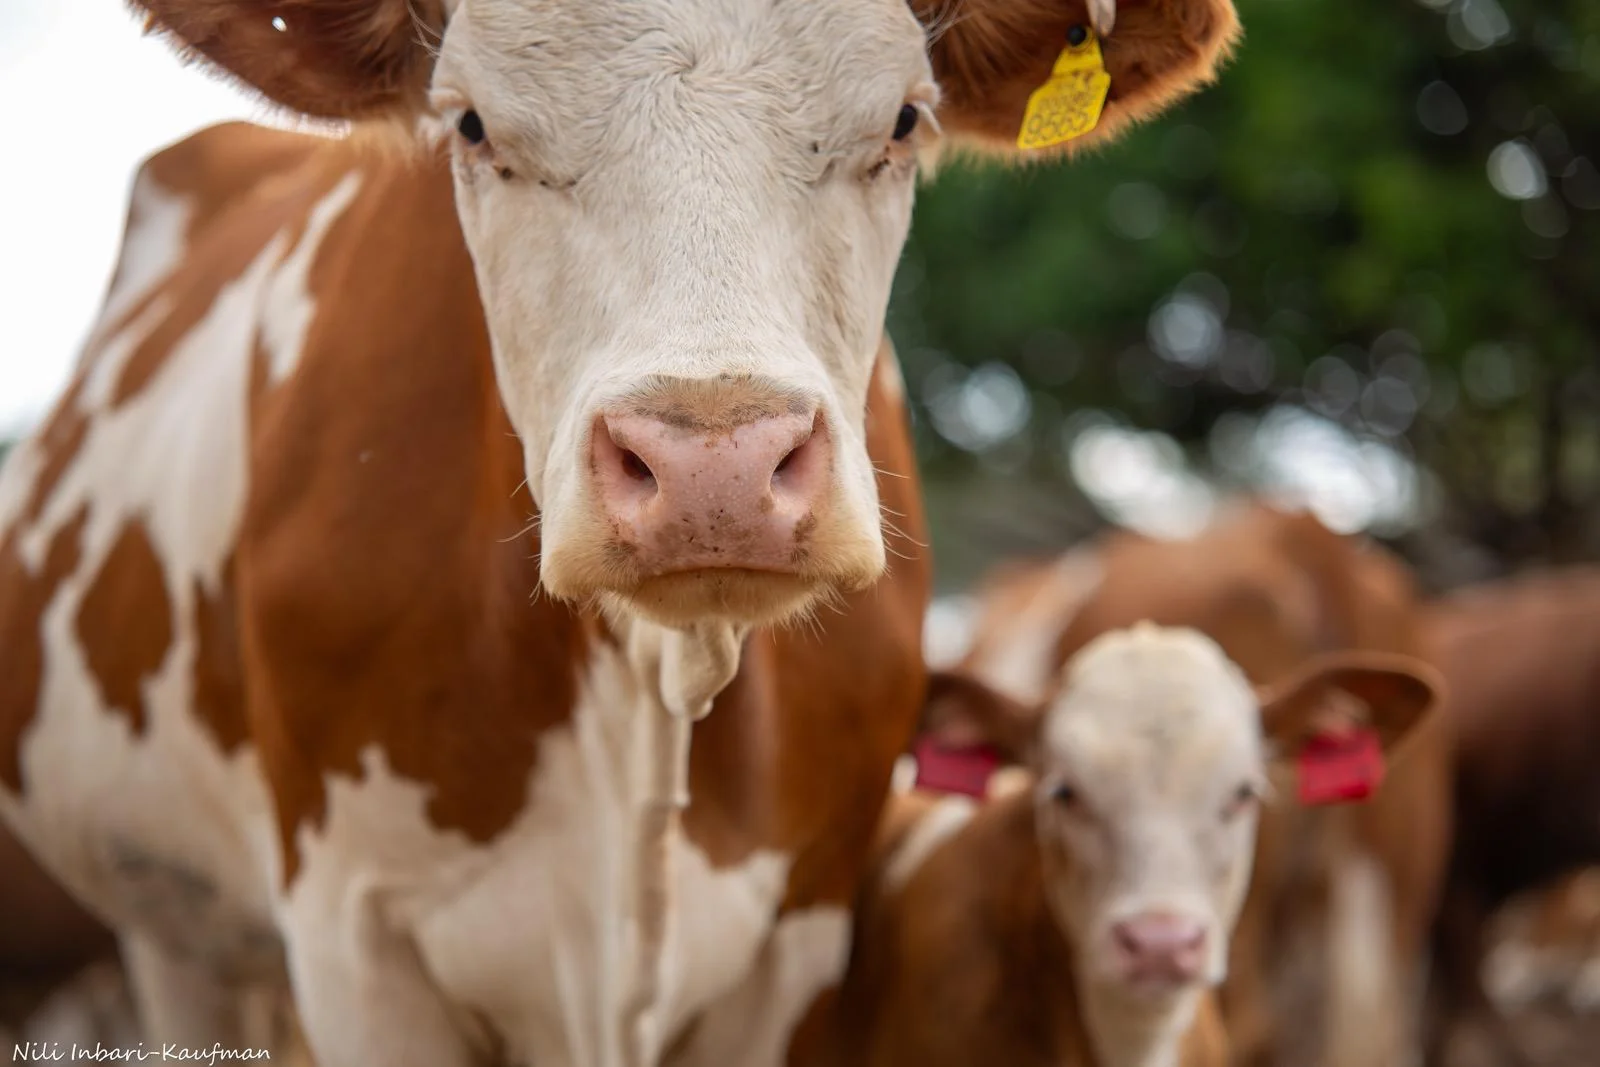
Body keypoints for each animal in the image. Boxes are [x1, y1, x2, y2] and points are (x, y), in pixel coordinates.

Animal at [0, 1, 1240, 1065]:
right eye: (471, 125)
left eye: (901, 120)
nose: (713, 468)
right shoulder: (354, 939)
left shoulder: (794, 945)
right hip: (179, 935)